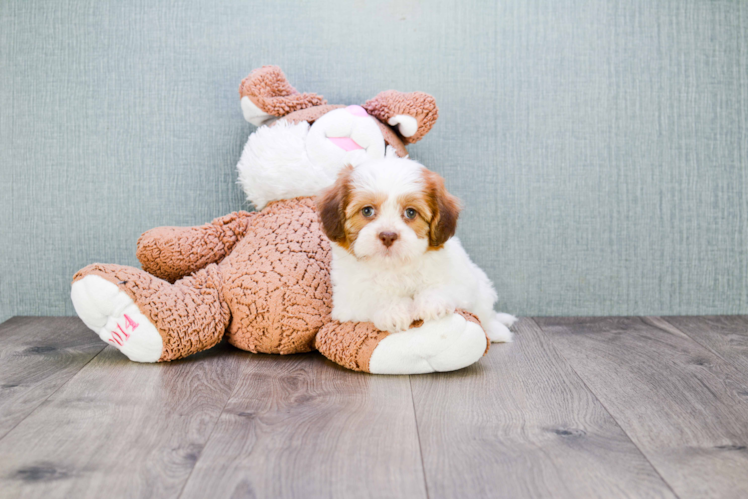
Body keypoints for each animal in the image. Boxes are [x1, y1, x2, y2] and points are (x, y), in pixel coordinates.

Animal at [316, 156, 516, 342]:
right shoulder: (347, 302)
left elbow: (444, 284)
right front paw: (392, 311)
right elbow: (371, 296)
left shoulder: (462, 279)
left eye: (410, 212)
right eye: (367, 211)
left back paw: (497, 330)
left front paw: (432, 301)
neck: (393, 267)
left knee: (486, 313)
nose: (388, 235)